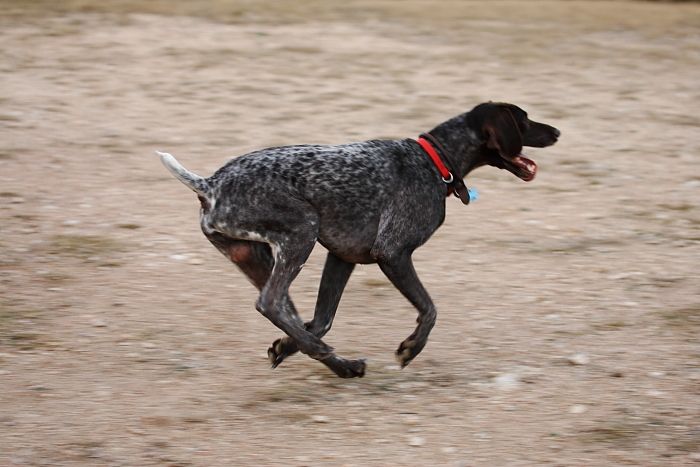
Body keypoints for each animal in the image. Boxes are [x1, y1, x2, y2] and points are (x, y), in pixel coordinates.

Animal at [159, 101, 556, 376]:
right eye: (523, 119)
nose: (556, 131)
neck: (434, 161)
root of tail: (210, 186)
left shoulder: (342, 258)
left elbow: (321, 319)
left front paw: (286, 347)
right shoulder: (392, 253)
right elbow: (429, 310)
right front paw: (411, 348)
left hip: (258, 256)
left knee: (285, 310)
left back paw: (341, 365)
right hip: (302, 231)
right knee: (270, 303)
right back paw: (328, 356)